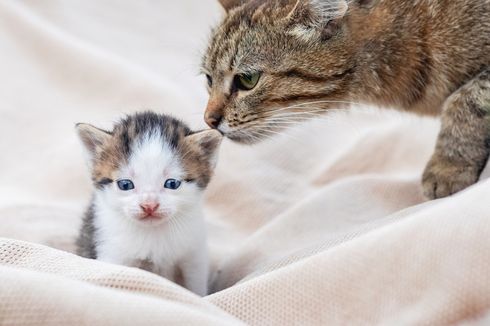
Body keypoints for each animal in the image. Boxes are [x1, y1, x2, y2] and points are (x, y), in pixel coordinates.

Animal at [75, 111, 221, 296]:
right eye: (125, 185)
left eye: (172, 183)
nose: (149, 205)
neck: (153, 233)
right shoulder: (111, 252)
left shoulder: (194, 257)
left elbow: (196, 287)